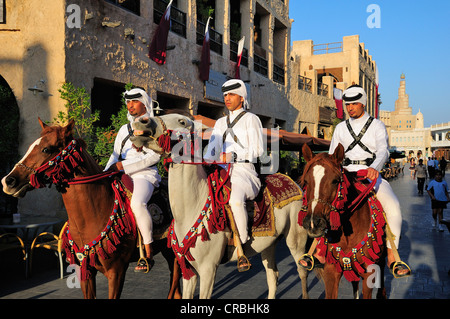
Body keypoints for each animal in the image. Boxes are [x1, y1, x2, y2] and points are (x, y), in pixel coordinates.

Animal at [2, 119, 181, 300]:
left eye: (46, 149)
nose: (8, 181)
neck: (92, 214)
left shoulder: (116, 271)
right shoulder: (85, 270)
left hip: (172, 251)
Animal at [131, 114, 310, 300]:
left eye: (182, 121)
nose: (141, 121)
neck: (191, 207)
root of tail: (295, 183)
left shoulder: (208, 268)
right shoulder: (188, 269)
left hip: (295, 240)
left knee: (302, 271)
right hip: (269, 243)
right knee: (272, 275)